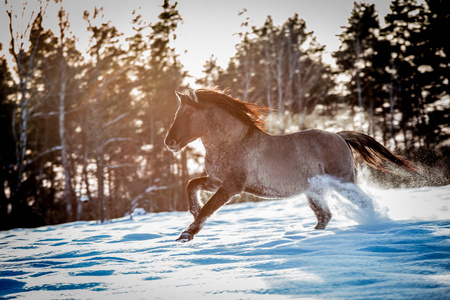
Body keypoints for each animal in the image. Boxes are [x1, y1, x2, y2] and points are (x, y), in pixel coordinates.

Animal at [164, 87, 414, 241]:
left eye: (187, 114)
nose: (169, 142)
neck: (233, 142)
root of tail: (339, 136)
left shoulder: (232, 187)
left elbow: (209, 208)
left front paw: (186, 234)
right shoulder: (217, 180)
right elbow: (191, 184)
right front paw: (193, 210)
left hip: (343, 182)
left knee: (364, 203)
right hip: (313, 191)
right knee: (325, 216)